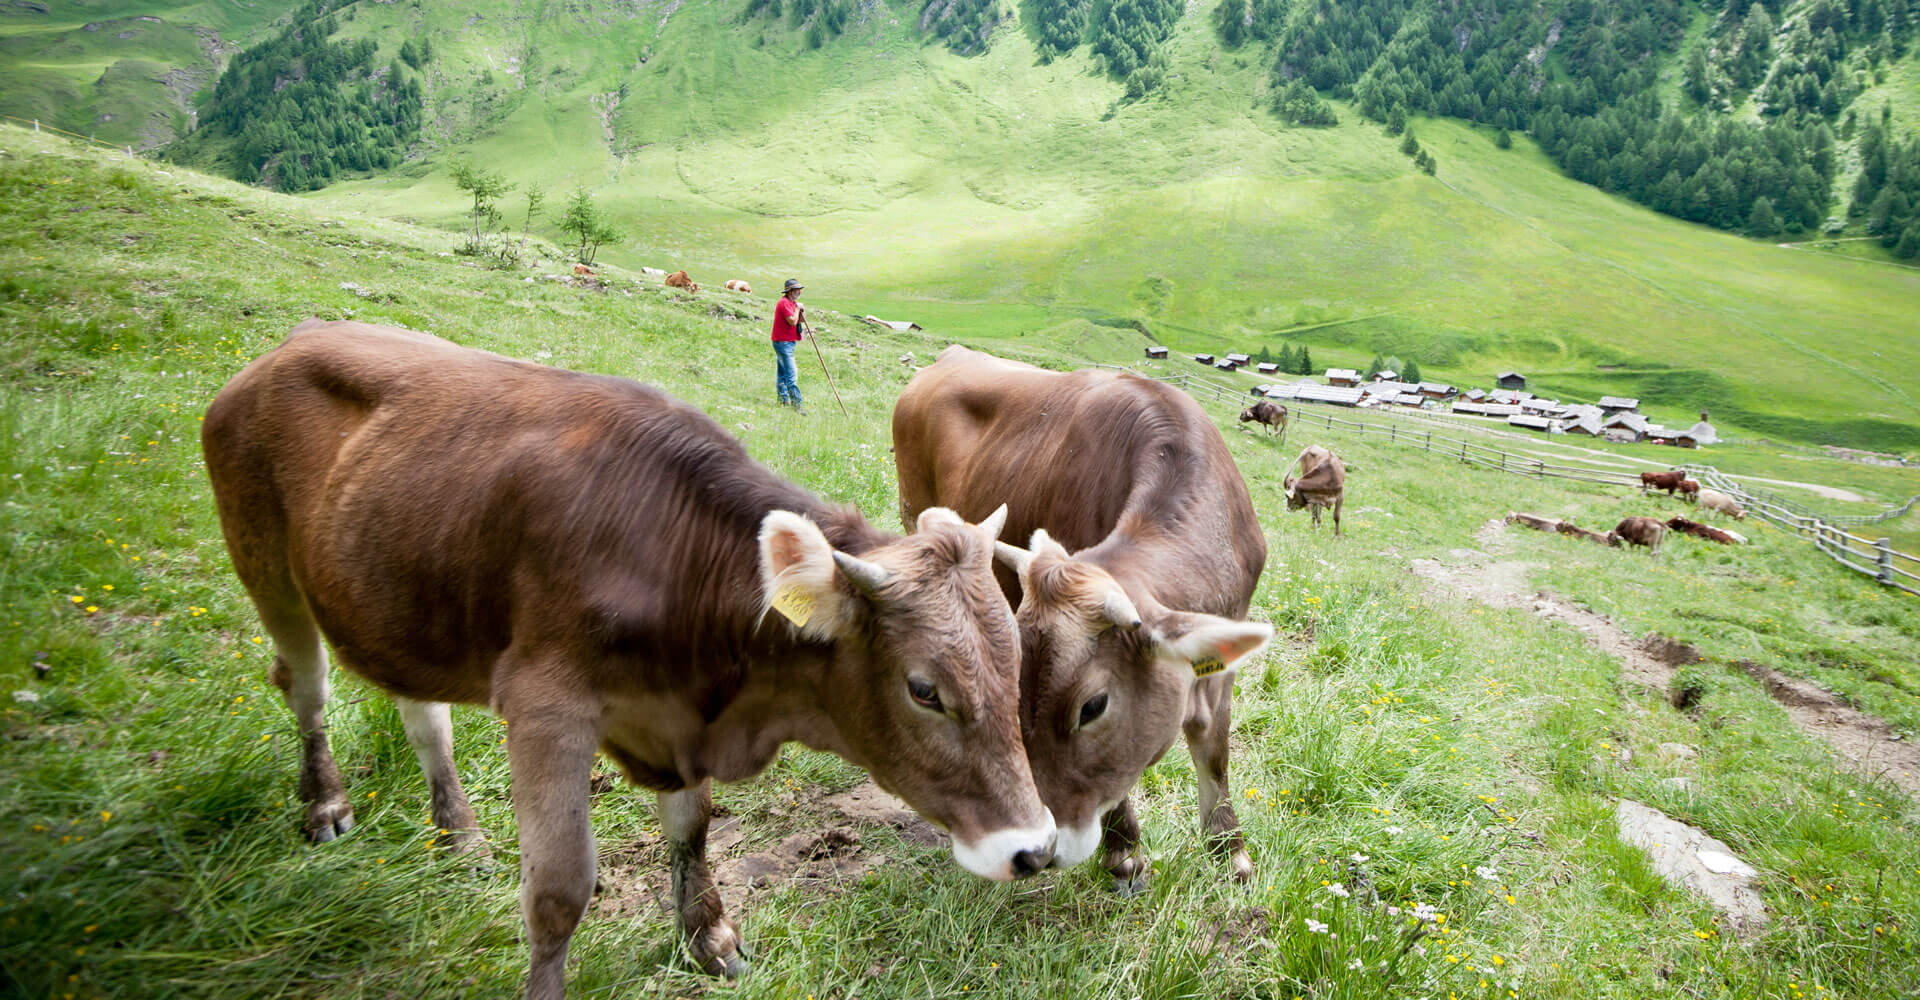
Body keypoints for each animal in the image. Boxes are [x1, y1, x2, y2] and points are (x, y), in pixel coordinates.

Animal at [202, 324, 1059, 990]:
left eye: (1015, 666)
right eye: (924, 690)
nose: (1035, 849)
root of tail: (294, 340)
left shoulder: (672, 719)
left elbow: (693, 828)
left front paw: (708, 938)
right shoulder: (545, 710)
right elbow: (558, 893)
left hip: (398, 599)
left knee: (423, 715)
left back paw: (461, 835)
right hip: (264, 564)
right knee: (305, 686)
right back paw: (325, 805)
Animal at [887, 349, 1274, 890]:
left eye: (1092, 706)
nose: (1043, 849)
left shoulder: (1226, 645)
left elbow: (1214, 747)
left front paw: (1230, 853)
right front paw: (1124, 851)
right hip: (914, 512)